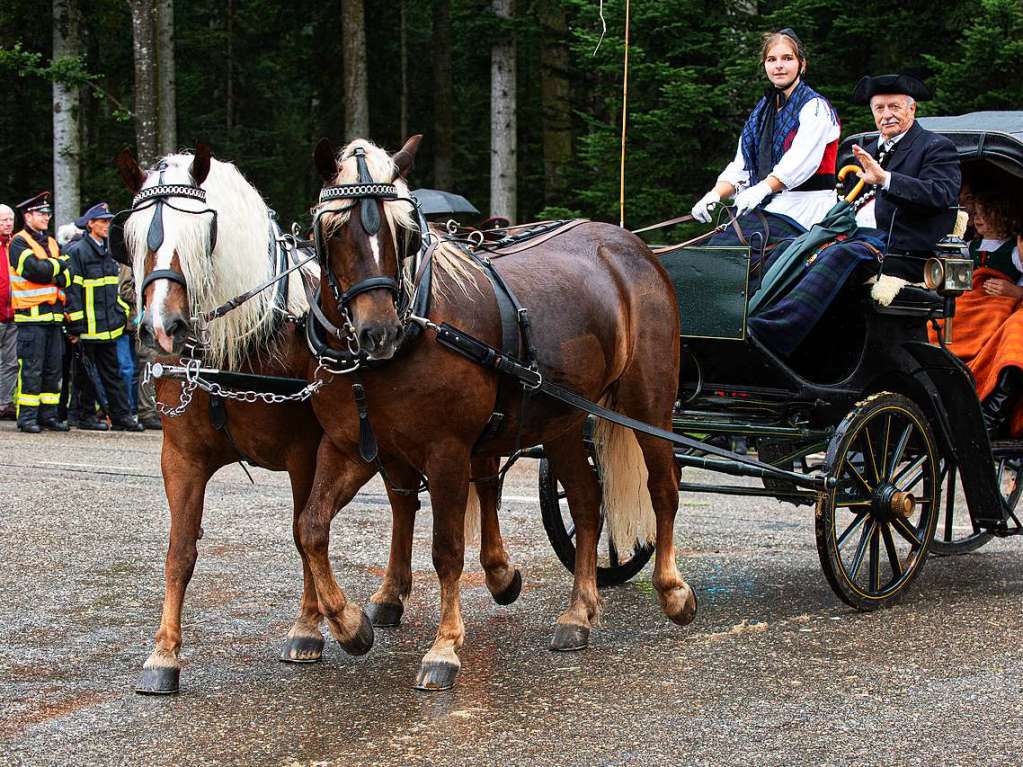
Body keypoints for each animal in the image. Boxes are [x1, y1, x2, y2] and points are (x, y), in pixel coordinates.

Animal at [116, 145, 523, 695]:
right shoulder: (180, 458)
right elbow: (180, 553)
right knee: (403, 502)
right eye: (132, 234)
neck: (238, 345)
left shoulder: (305, 452)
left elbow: (302, 530)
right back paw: (391, 596)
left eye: (206, 232)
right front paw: (164, 655)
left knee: (482, 479)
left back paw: (499, 574)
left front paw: (313, 629)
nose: (162, 328)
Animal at [300, 134, 703, 695]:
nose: (377, 331)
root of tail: (632, 248)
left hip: (647, 403)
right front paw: (348, 623)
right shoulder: (353, 447)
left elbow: (447, 549)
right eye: (334, 230)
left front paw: (444, 648)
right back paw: (578, 613)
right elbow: (312, 527)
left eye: (405, 233)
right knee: (587, 501)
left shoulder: (446, 452)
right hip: (562, 422)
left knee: (663, 486)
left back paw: (672, 590)